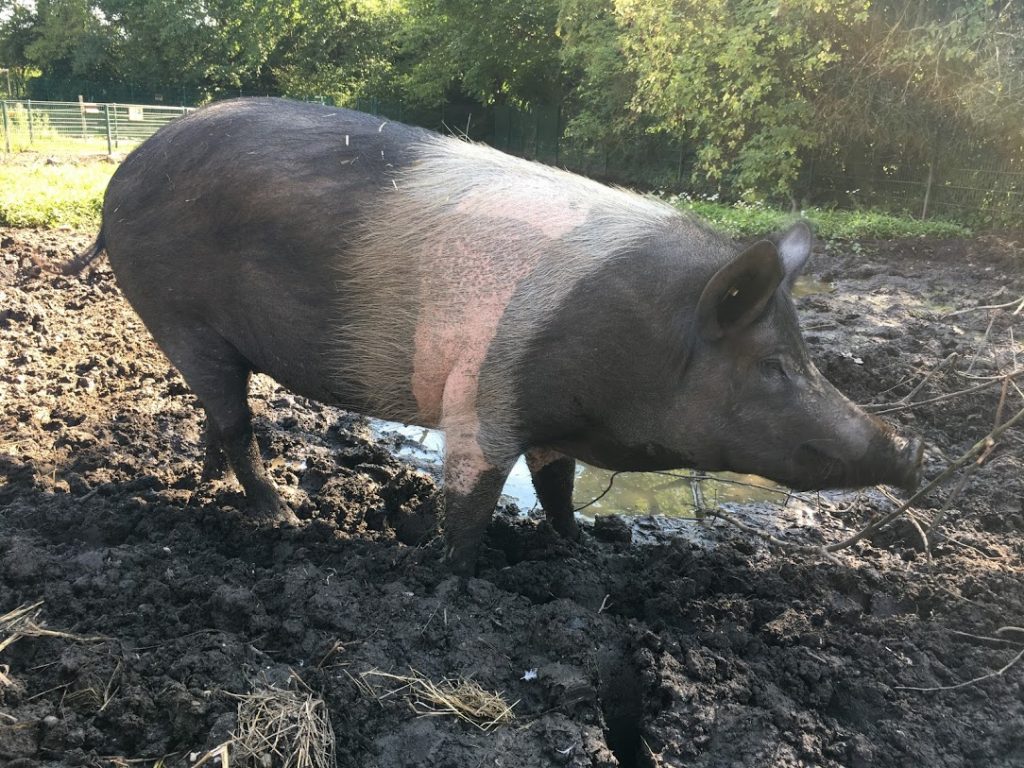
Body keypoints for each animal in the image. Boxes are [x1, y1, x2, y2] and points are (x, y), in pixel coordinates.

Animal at [69, 98, 923, 573]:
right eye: (773, 365)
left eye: (808, 356)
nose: (913, 452)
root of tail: (119, 178)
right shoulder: (483, 397)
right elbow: (472, 501)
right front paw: (454, 575)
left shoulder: (550, 420)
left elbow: (557, 487)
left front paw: (582, 549)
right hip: (180, 314)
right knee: (237, 421)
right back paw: (279, 516)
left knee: (218, 419)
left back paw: (212, 485)